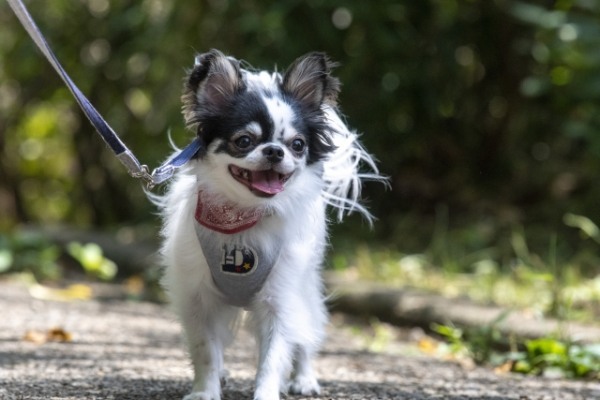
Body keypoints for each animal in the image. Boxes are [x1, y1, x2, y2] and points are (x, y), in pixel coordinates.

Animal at [159, 50, 382, 400]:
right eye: (244, 141)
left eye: (298, 145)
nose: (275, 150)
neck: (242, 219)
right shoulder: (198, 299)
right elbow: (205, 350)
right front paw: (205, 390)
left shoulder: (280, 300)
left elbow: (273, 356)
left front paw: (266, 392)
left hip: (305, 288)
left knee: (307, 335)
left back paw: (304, 379)